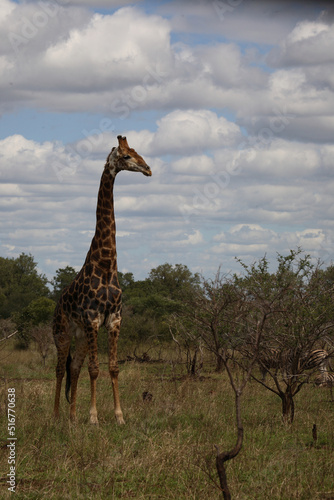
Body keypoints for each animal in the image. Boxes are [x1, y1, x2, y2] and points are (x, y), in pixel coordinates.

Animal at [52, 135, 152, 424]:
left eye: (137, 151)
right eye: (126, 156)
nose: (148, 169)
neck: (107, 265)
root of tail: (56, 305)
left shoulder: (114, 320)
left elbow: (113, 367)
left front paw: (119, 416)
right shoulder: (92, 320)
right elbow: (95, 369)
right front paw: (94, 418)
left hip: (81, 336)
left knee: (74, 367)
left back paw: (72, 417)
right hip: (62, 332)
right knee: (59, 369)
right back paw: (55, 416)